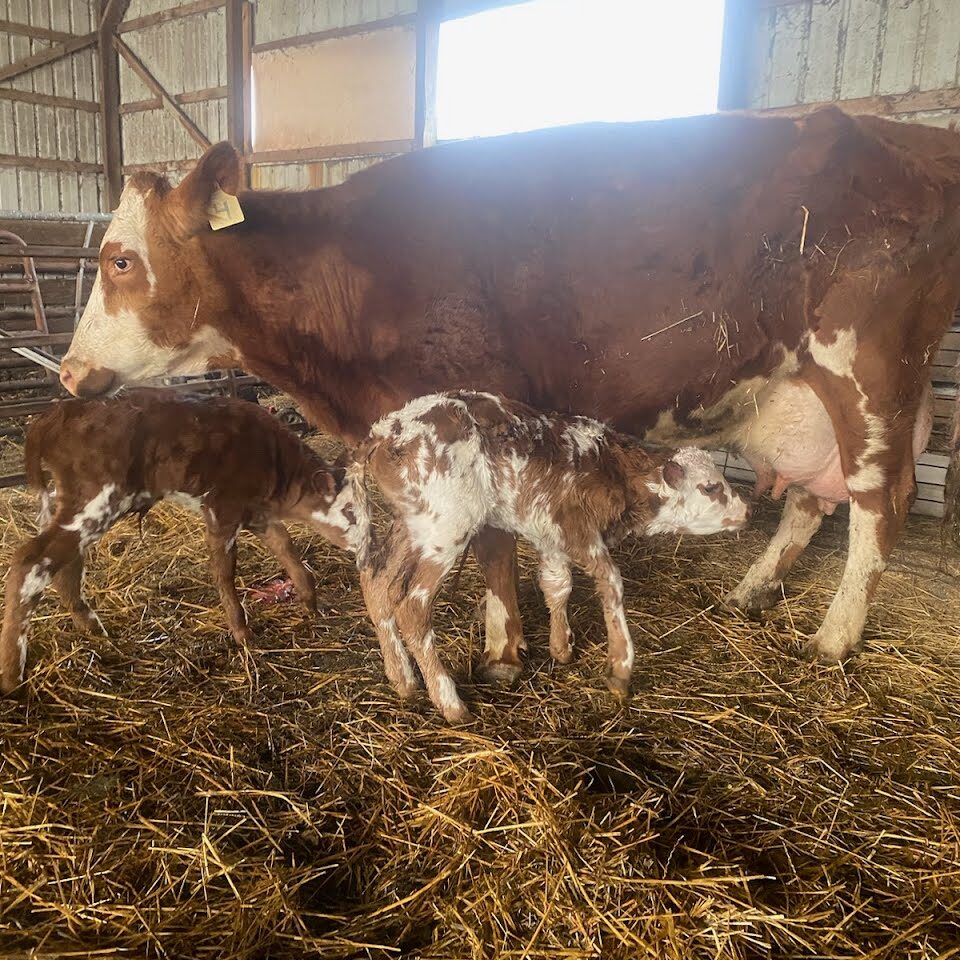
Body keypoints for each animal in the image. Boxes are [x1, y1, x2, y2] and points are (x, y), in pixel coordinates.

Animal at [0, 390, 360, 696]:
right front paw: (242, 632)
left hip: (82, 508)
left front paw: (312, 603)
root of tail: (59, 412)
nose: (365, 546)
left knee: (65, 561)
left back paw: (91, 628)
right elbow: (225, 570)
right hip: (95, 497)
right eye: (350, 510)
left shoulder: (258, 513)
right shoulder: (222, 509)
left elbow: (288, 550)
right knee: (31, 559)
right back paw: (12, 675)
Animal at [58, 107, 960, 676]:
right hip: (806, 389)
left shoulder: (476, 407)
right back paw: (751, 592)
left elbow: (493, 544)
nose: (66, 372)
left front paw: (502, 649)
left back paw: (834, 637)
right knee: (815, 499)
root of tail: (913, 138)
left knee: (881, 500)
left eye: (120, 260)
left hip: (870, 368)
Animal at [352, 390, 752, 720]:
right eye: (711, 487)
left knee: (377, 582)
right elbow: (611, 584)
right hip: (446, 530)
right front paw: (620, 667)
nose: (746, 510)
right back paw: (451, 703)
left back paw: (403, 680)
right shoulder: (578, 531)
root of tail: (384, 432)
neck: (610, 467)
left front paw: (561, 648)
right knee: (411, 606)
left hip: (410, 526)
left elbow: (557, 585)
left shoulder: (549, 535)